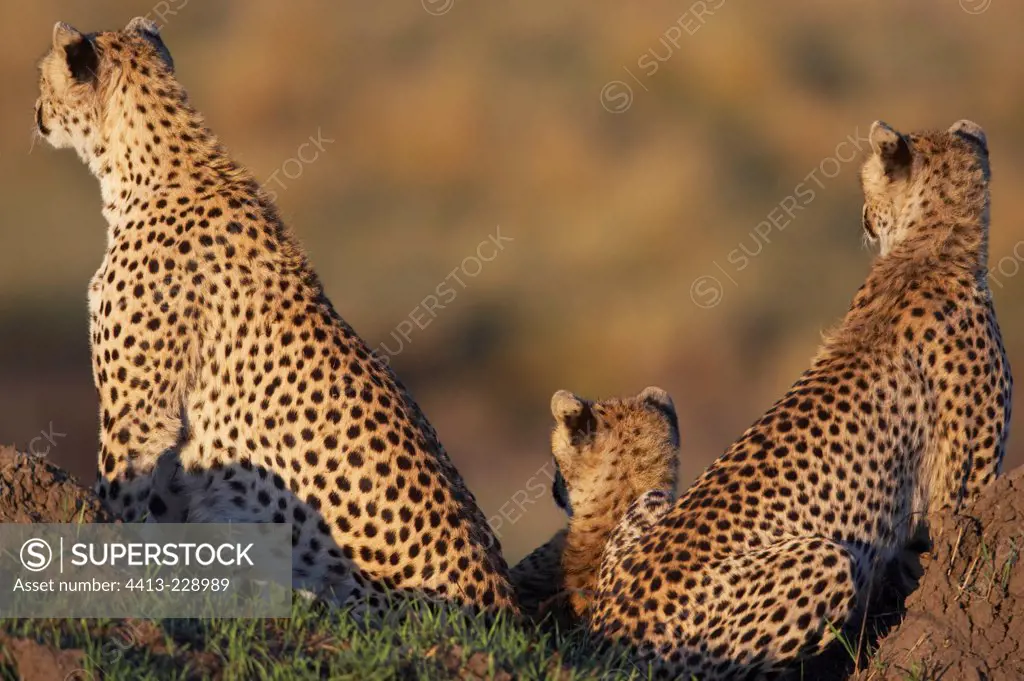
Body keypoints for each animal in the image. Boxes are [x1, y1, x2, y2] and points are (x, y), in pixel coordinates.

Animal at [35, 15, 516, 610]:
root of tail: (505, 606)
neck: (152, 166)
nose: (36, 111)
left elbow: (119, 498)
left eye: (44, 77)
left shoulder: (140, 412)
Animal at [589, 119, 1011, 675]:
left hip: (652, 501)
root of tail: (607, 633)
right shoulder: (957, 495)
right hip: (828, 562)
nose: (863, 218)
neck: (927, 248)